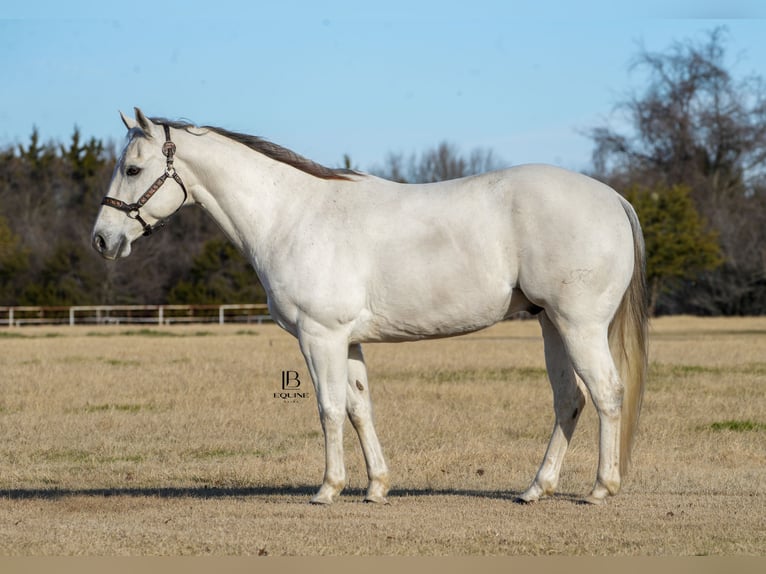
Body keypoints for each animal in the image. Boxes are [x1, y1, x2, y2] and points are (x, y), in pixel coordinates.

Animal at [93, 110, 652, 506]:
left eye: (133, 168)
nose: (102, 240)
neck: (291, 214)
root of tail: (612, 198)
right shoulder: (348, 340)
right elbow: (359, 407)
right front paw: (377, 486)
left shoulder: (320, 336)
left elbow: (328, 408)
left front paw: (327, 488)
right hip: (551, 325)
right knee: (569, 399)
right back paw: (536, 488)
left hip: (579, 325)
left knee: (606, 393)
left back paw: (600, 489)